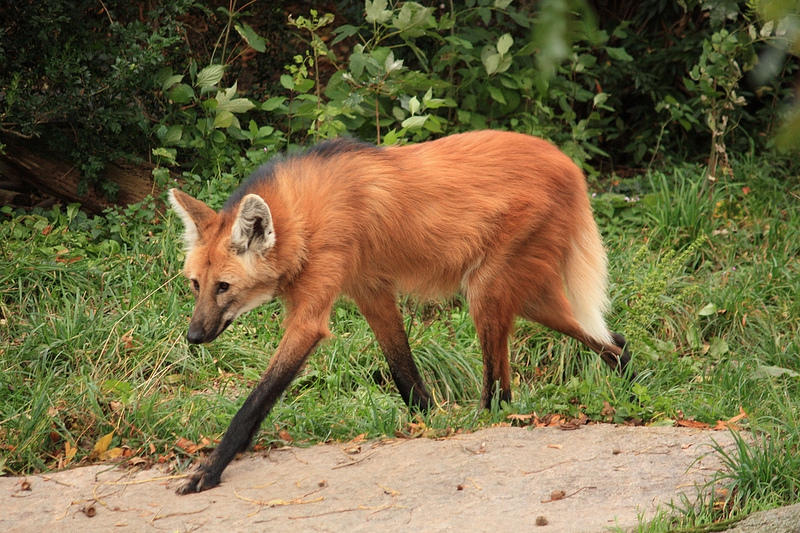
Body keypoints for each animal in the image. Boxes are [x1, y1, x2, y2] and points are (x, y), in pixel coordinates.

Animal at [169, 130, 632, 494]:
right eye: (195, 285)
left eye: (224, 287)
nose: (193, 337)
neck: (302, 218)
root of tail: (566, 162)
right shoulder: (371, 292)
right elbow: (403, 370)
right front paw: (426, 422)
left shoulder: (311, 318)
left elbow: (255, 401)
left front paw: (209, 469)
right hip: (527, 295)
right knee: (614, 341)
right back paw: (626, 384)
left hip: (484, 289)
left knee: (501, 387)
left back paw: (487, 419)